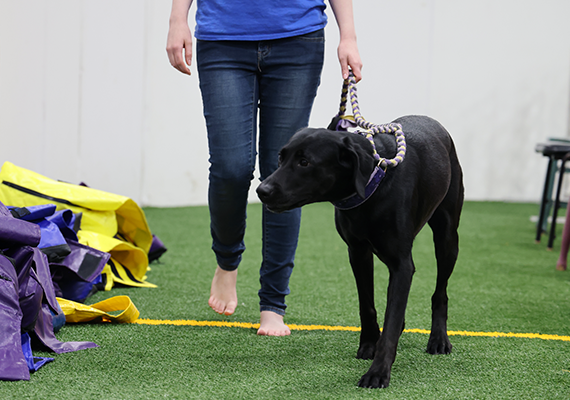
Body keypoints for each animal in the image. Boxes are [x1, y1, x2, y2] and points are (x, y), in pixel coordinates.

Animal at [256, 115, 462, 388]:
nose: (262, 190)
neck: (373, 184)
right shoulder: (357, 252)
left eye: (304, 162)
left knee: (440, 292)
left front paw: (378, 372)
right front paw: (368, 345)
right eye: (281, 158)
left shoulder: (402, 264)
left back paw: (438, 339)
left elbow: (391, 318)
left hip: (447, 237)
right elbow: (368, 305)